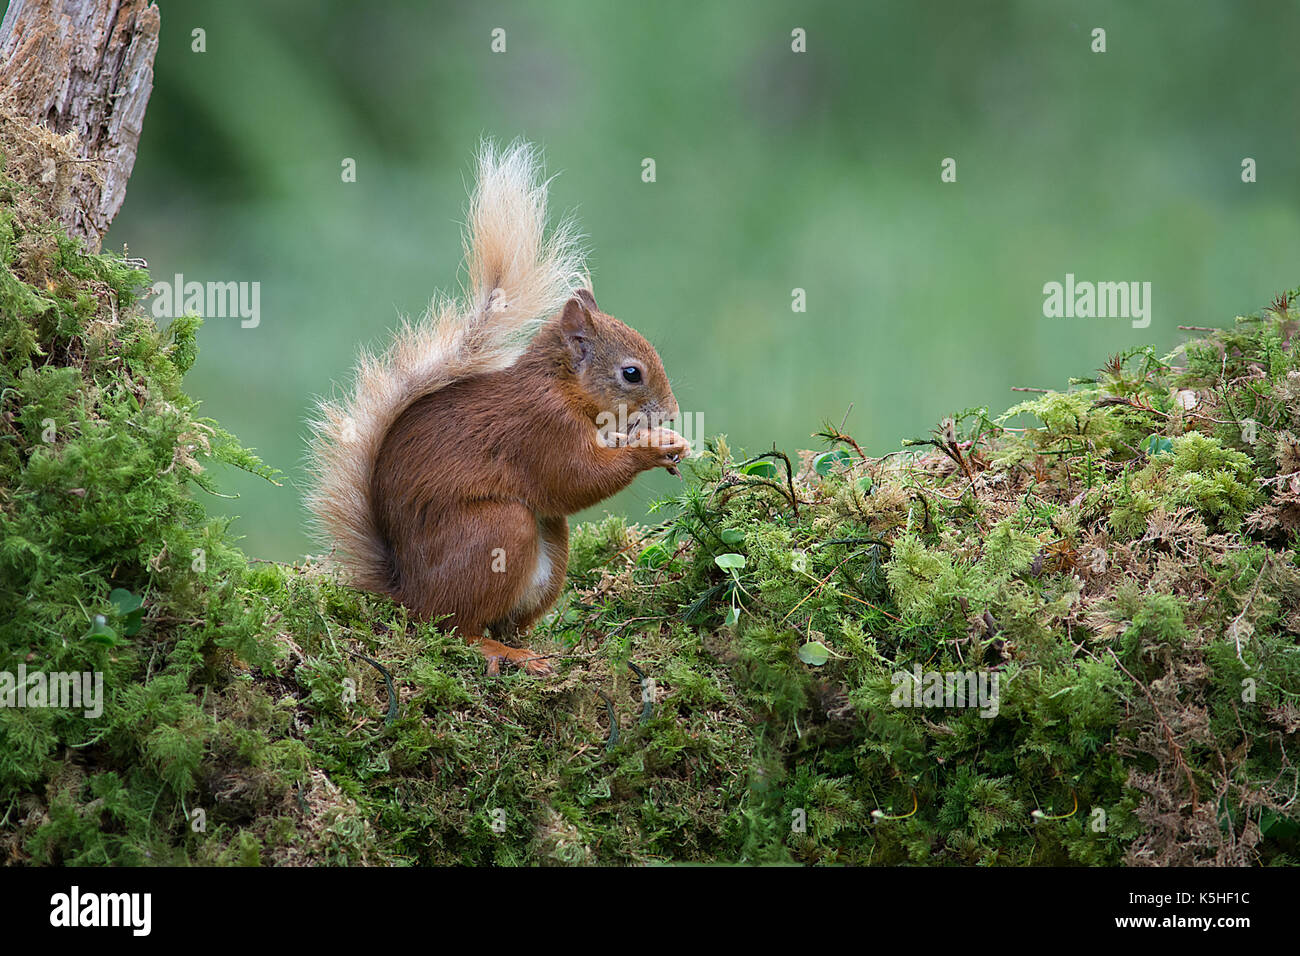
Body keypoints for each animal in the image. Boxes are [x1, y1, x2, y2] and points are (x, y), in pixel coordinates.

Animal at [306, 141, 690, 676]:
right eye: (631, 374)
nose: (671, 413)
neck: (561, 387)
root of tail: (408, 594)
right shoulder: (539, 427)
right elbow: (575, 478)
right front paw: (652, 448)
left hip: (550, 549)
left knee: (505, 619)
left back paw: (533, 649)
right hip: (497, 532)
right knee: (456, 628)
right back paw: (499, 652)